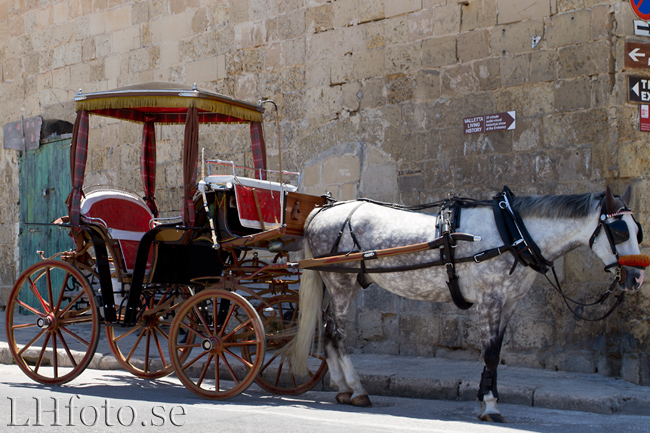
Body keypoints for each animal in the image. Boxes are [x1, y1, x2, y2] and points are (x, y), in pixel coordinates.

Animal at [292, 186, 644, 422]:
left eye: (637, 230)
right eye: (619, 230)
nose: (638, 278)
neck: (513, 232)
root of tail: (323, 211)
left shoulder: (509, 302)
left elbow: (496, 352)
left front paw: (485, 399)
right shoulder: (491, 299)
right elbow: (489, 353)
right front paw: (490, 405)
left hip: (340, 282)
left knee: (328, 328)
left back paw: (342, 388)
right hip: (340, 282)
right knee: (337, 331)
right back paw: (357, 389)